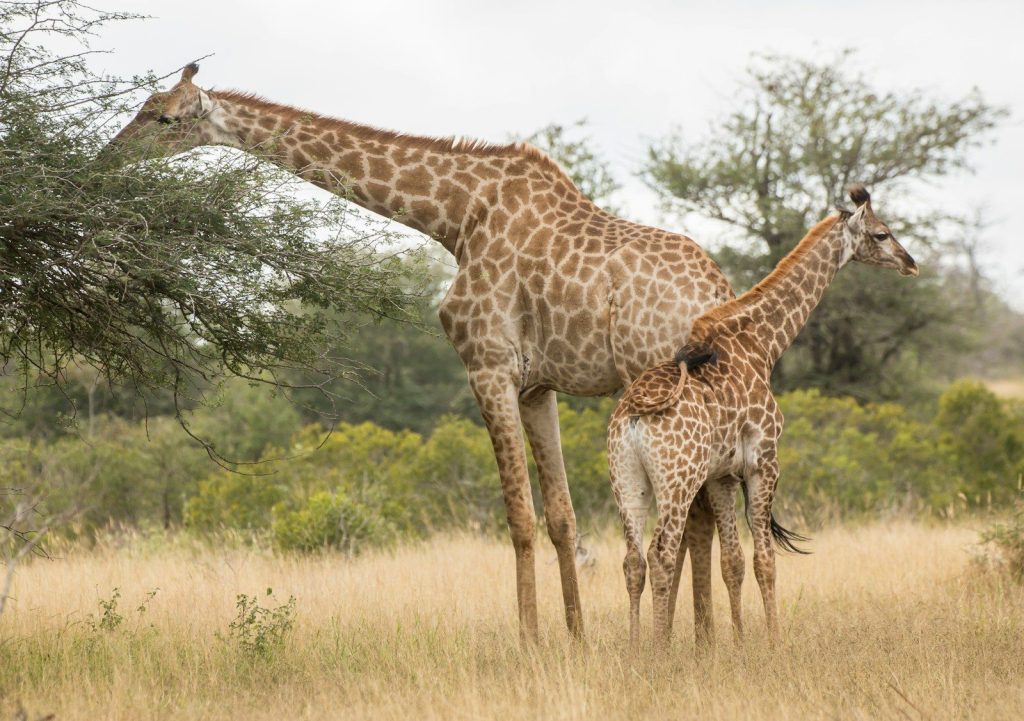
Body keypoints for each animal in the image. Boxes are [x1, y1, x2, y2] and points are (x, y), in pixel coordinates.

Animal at [104, 63, 734, 644]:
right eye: (143, 106)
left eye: (163, 117)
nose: (106, 158)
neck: (457, 218)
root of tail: (716, 291)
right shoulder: (537, 385)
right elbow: (560, 516)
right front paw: (576, 639)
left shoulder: (486, 365)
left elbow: (518, 516)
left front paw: (530, 641)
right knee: (703, 513)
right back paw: (703, 639)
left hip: (654, 385)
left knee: (690, 518)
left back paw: (679, 641)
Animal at [607, 185, 918, 647]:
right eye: (882, 233)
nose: (910, 262)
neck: (762, 343)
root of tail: (633, 414)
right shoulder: (764, 461)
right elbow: (765, 561)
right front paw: (774, 642)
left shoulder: (720, 475)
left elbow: (733, 561)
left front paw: (739, 643)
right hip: (677, 480)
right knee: (661, 553)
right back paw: (659, 650)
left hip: (628, 479)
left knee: (633, 560)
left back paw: (634, 649)